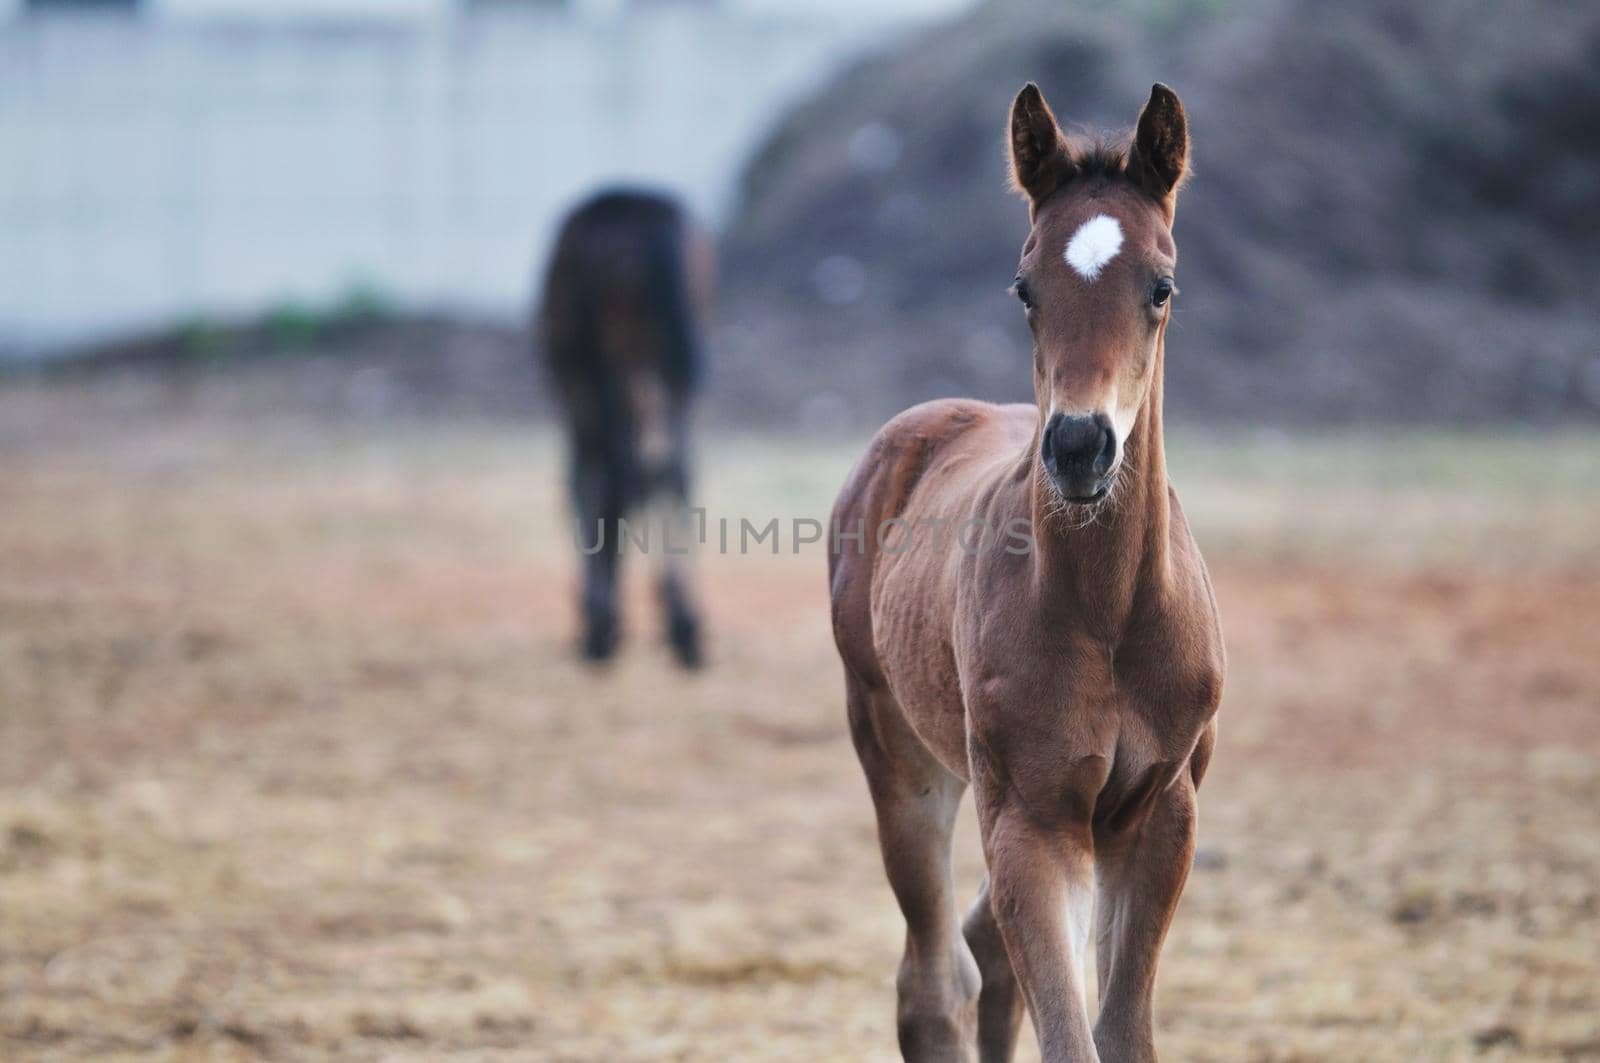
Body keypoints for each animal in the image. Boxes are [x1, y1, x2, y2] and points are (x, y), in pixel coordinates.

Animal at [537, 184, 713, 665]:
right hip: (675, 359)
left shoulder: (582, 381)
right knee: (676, 466)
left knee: (625, 468)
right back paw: (687, 623)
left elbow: (590, 480)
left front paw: (600, 616)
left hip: (609, 359)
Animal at [825, 85, 1222, 1063]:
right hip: (902, 753)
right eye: (1025, 287)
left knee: (980, 953)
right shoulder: (1032, 819)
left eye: (1161, 287)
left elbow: (1120, 1032)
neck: (1109, 613)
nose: (1079, 445)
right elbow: (1070, 1034)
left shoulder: (1161, 816)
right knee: (935, 983)